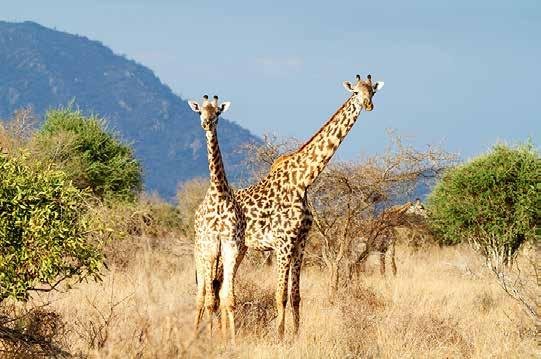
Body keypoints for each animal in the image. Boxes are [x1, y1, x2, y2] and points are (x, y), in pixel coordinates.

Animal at [236, 73, 384, 338]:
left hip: (241, 247)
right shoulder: (283, 243)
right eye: (355, 92)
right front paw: (279, 335)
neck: (304, 180)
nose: (368, 105)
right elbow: (280, 295)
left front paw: (295, 335)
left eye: (373, 91)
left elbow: (296, 296)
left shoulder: (300, 242)